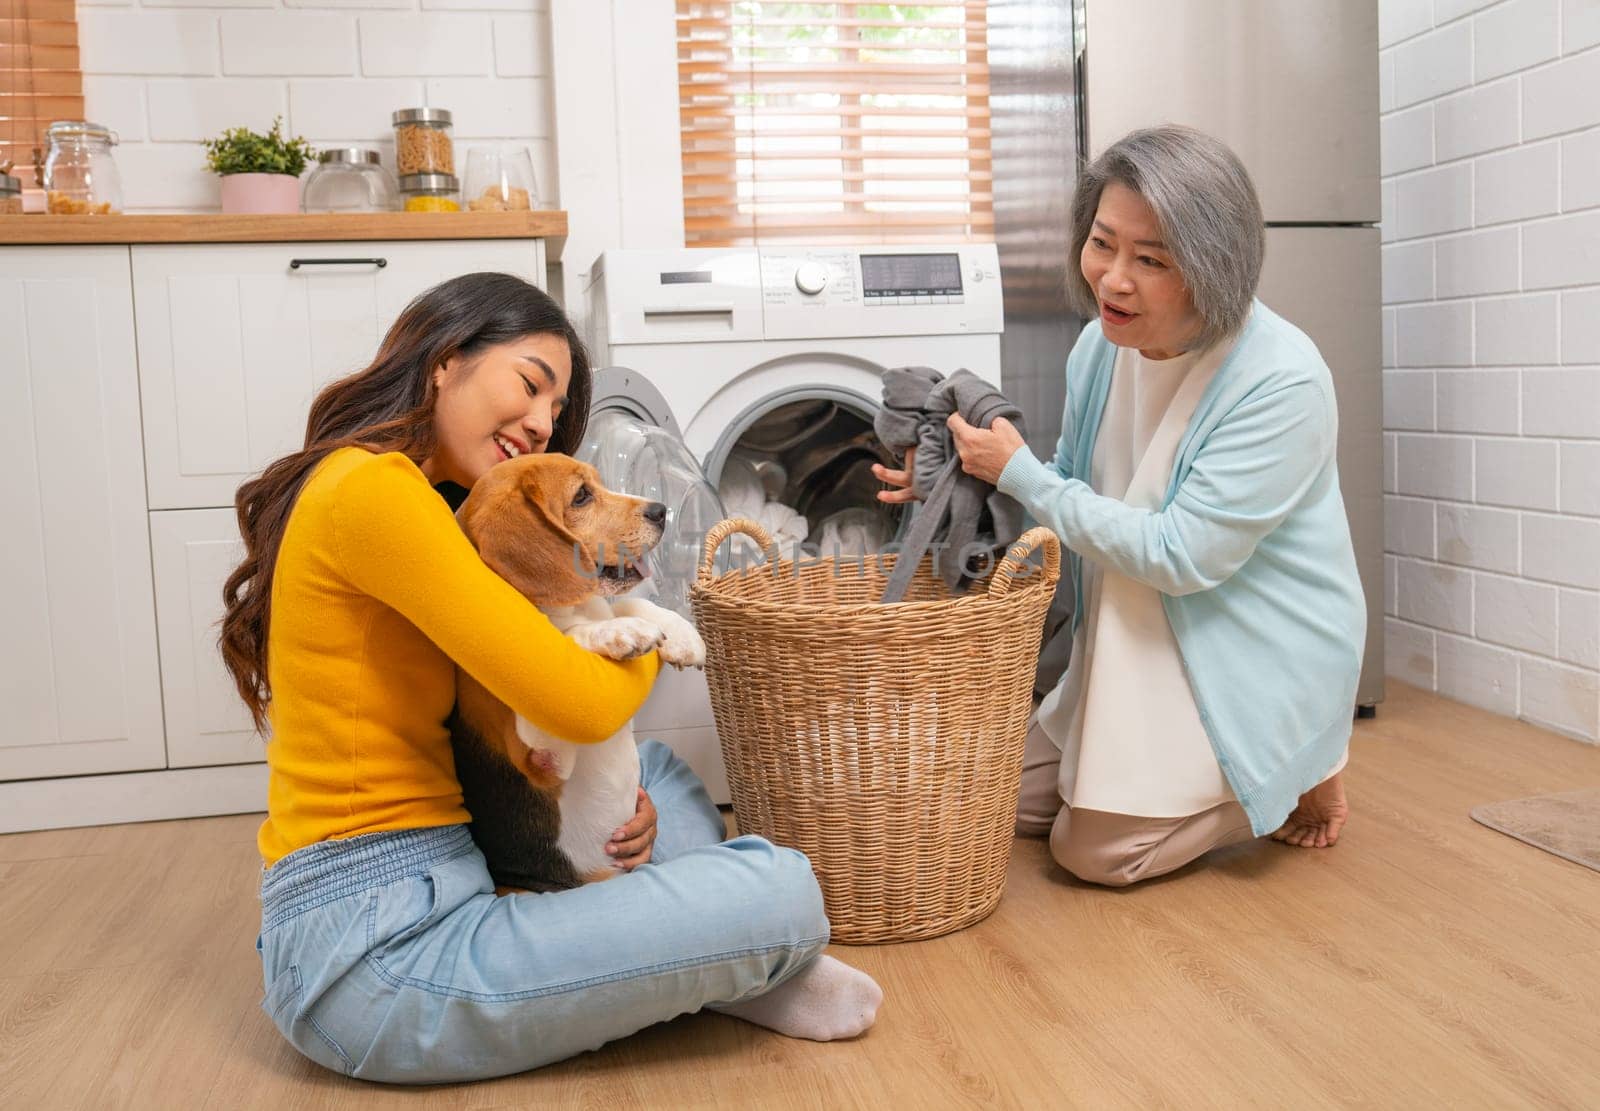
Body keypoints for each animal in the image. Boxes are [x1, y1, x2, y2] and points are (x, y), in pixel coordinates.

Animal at [448, 451, 704, 896]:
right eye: (582, 496)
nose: (661, 511)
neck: (567, 608)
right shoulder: (539, 754)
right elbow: (573, 635)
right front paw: (619, 634)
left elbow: (631, 605)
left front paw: (680, 635)